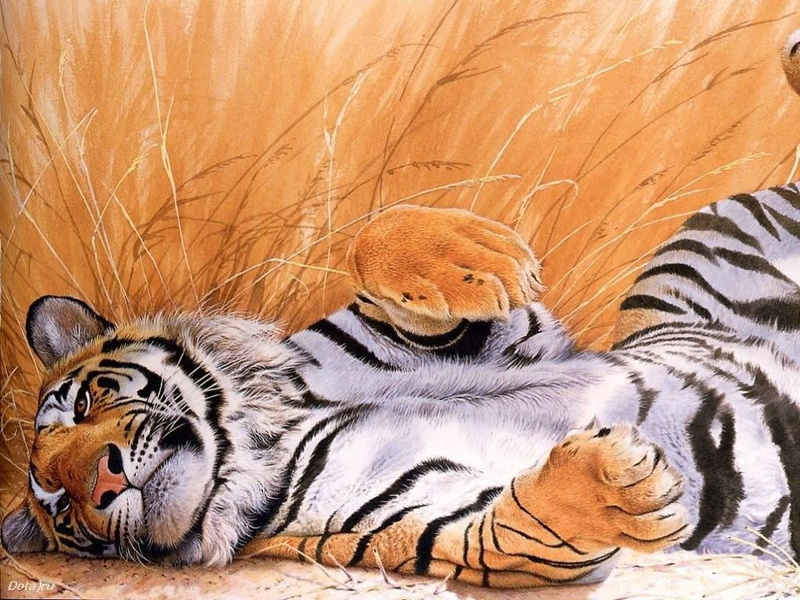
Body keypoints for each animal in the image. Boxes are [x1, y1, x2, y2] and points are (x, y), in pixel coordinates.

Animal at [1, 30, 799, 590]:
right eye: (60, 504)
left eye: (84, 403)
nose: (101, 482)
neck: (258, 443)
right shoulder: (433, 517)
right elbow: (521, 523)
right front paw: (613, 478)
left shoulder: (468, 336)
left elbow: (376, 238)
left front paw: (479, 258)